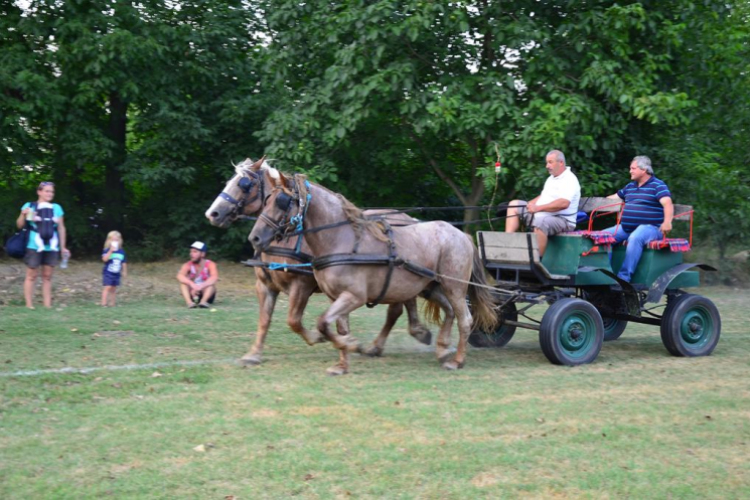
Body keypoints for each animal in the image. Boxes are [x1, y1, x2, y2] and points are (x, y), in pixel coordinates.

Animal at [206, 158, 432, 366]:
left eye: (244, 184)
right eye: (229, 181)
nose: (212, 214)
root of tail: (410, 219)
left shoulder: (301, 284)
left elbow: (294, 320)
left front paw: (319, 337)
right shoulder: (265, 285)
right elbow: (264, 320)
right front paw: (253, 355)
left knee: (397, 308)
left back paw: (390, 341)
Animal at [250, 170, 502, 374]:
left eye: (282, 201)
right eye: (267, 200)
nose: (255, 238)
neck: (340, 239)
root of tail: (461, 235)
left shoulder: (354, 296)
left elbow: (323, 322)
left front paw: (351, 344)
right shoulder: (337, 297)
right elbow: (338, 327)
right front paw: (342, 364)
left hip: (455, 287)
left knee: (465, 319)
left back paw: (456, 360)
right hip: (432, 287)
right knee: (449, 311)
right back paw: (441, 349)